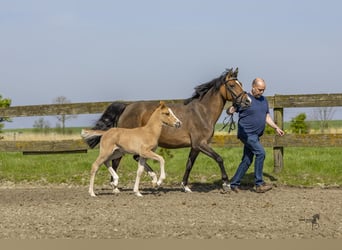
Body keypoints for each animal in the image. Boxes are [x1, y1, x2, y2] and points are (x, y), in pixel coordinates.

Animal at [84, 67, 250, 192]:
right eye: (232, 85)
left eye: (240, 83)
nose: (247, 101)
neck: (202, 112)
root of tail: (127, 106)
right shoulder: (201, 143)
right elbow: (219, 158)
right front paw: (226, 184)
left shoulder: (195, 146)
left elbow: (189, 164)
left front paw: (185, 186)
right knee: (116, 161)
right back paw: (116, 186)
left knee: (133, 158)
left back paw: (151, 179)